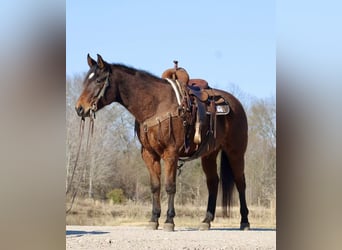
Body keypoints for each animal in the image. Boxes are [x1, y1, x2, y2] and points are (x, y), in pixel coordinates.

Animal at [75, 53, 250, 231]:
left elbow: (170, 186)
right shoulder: (149, 154)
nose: (80, 108)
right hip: (209, 154)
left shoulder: (170, 154)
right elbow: (155, 186)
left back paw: (244, 221)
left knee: (240, 182)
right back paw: (206, 221)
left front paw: (169, 221)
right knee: (213, 182)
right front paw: (154, 219)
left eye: (98, 80)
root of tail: (236, 103)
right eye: (86, 80)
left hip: (236, 152)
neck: (156, 105)